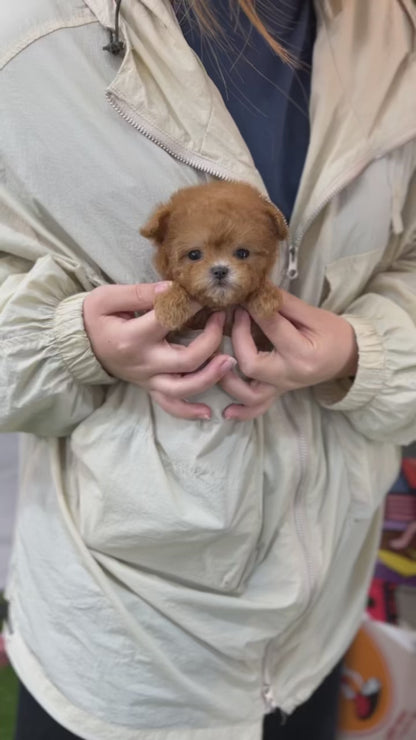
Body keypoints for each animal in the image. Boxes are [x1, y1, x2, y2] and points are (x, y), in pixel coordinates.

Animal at [140, 181, 286, 330]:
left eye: (242, 253)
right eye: (194, 254)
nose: (220, 271)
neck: (221, 306)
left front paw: (266, 296)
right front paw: (170, 304)